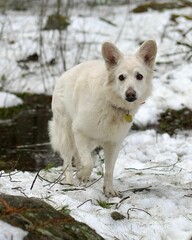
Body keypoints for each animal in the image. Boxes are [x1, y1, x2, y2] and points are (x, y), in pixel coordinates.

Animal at [48, 39, 157, 197]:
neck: (111, 104)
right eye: (121, 77)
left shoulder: (113, 143)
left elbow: (109, 170)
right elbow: (89, 162)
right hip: (66, 133)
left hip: (90, 142)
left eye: (139, 76)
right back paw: (70, 181)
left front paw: (109, 190)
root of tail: (65, 74)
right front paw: (83, 175)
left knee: (77, 157)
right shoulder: (80, 132)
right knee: (67, 161)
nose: (130, 94)